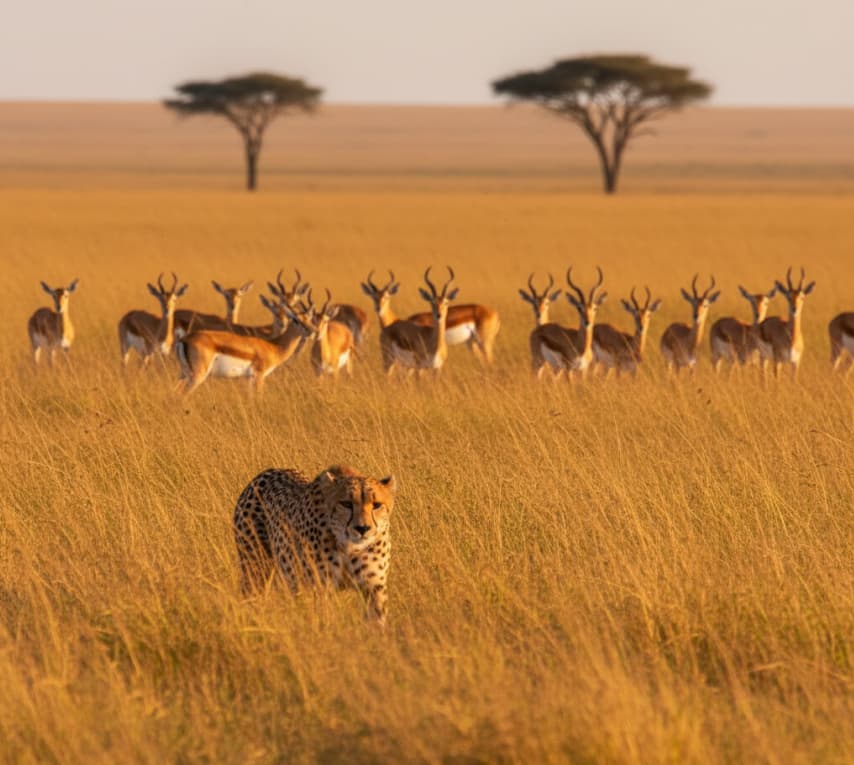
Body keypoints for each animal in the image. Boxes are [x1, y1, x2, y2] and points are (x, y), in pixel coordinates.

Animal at [233, 464, 397, 625]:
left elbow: (376, 618)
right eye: (346, 504)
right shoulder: (321, 587)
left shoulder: (373, 586)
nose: (362, 529)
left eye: (376, 505)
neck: (348, 546)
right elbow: (324, 618)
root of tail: (267, 471)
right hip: (255, 571)